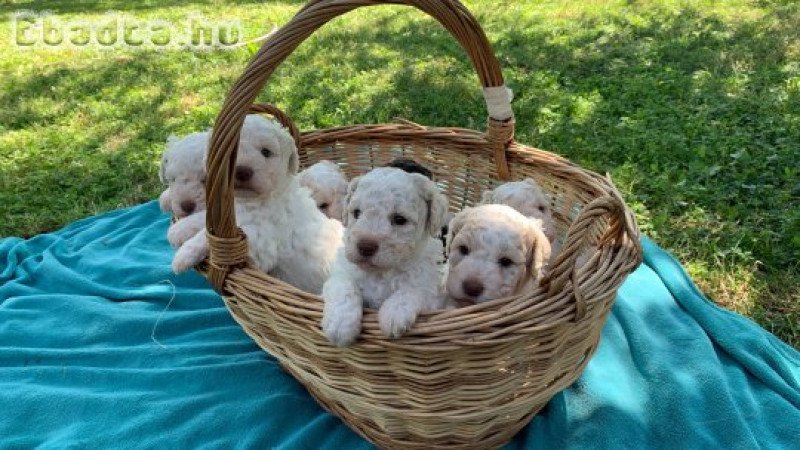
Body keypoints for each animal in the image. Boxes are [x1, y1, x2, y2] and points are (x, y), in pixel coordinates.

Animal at [322, 167, 454, 346]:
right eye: (356, 213)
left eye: (399, 219)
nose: (365, 247)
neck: (381, 273)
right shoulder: (340, 275)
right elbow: (345, 287)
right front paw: (340, 324)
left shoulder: (432, 290)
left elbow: (413, 290)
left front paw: (394, 314)